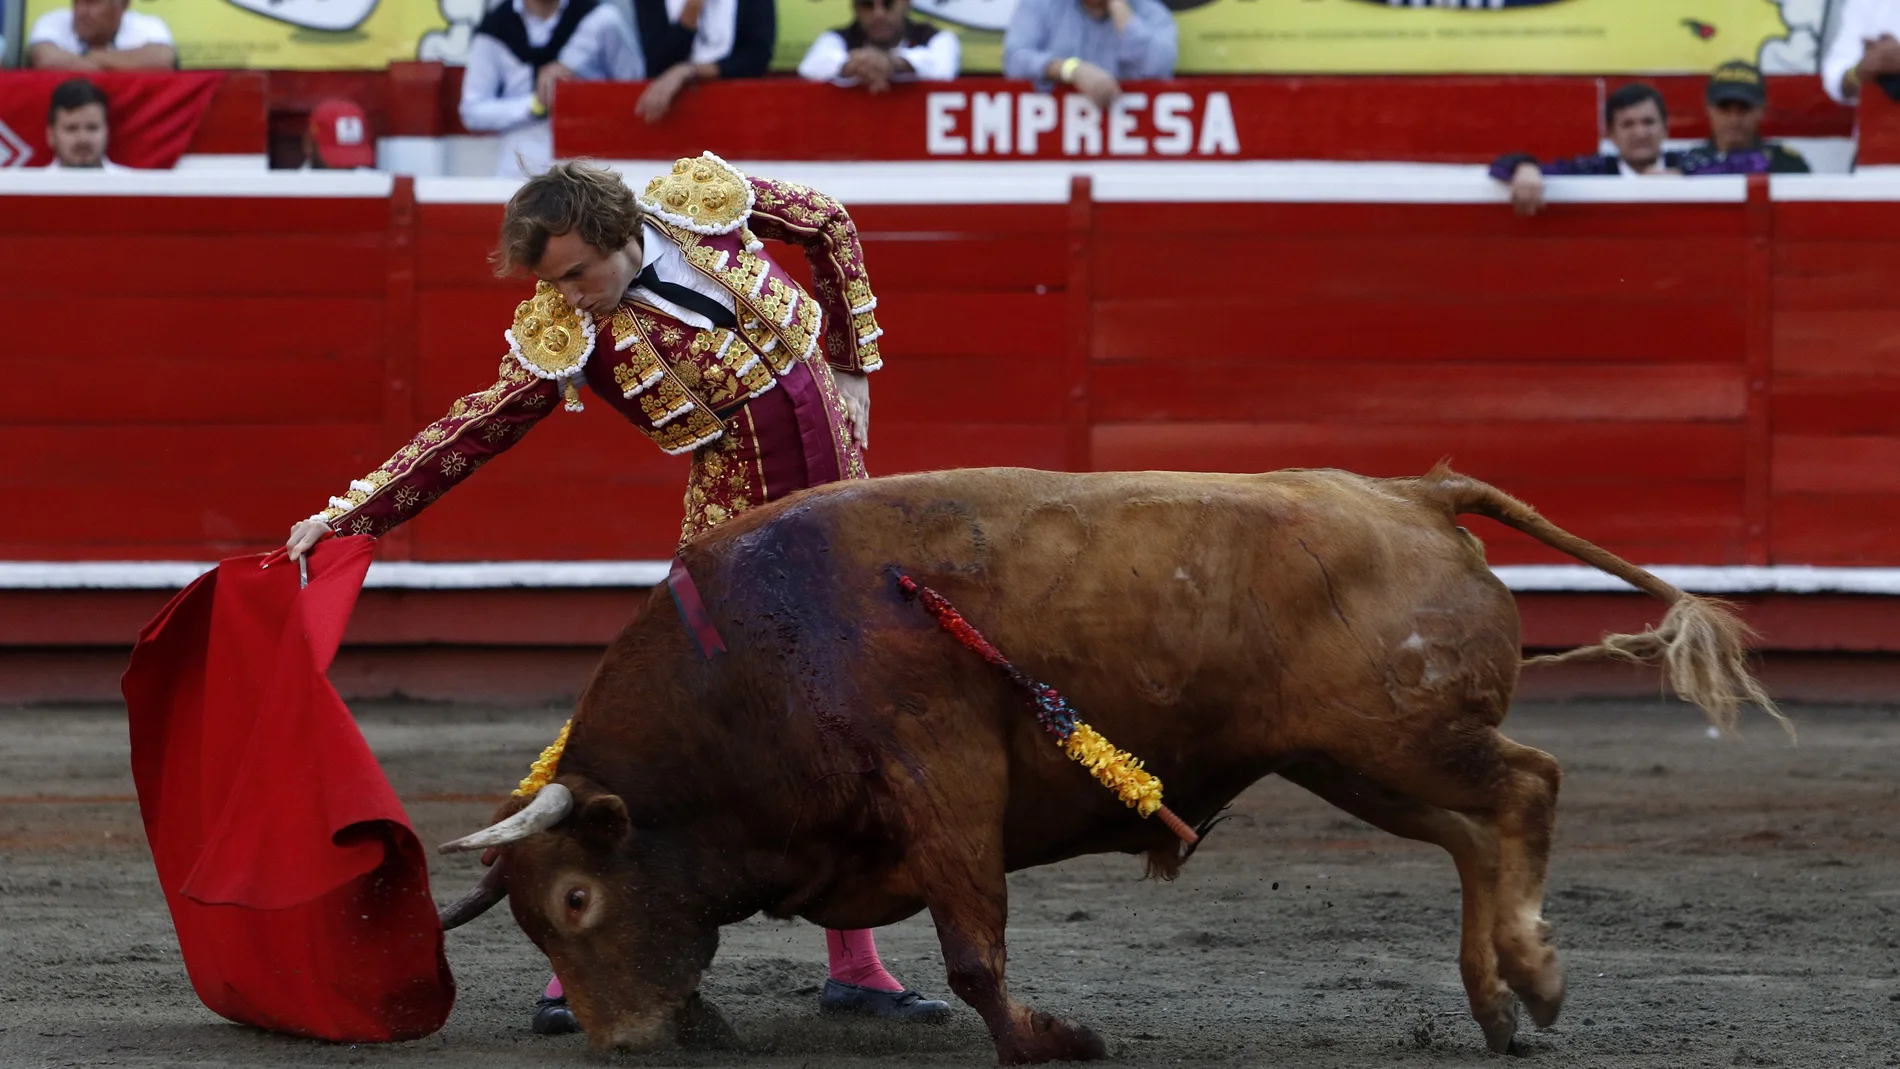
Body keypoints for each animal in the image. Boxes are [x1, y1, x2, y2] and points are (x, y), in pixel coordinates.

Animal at [435, 467, 1778, 1063]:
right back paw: (1495, 1004)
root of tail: (1411, 491)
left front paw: (1053, 1038)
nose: (622, 1038)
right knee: (1468, 832)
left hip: (1400, 737)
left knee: (1528, 784)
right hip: (1349, 758)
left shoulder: (943, 782)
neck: (754, 656)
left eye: (575, 898)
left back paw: (1536, 978)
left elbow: (974, 950)